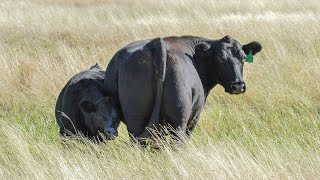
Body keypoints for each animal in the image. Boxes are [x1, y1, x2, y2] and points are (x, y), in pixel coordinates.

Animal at [104, 34, 262, 139]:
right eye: (219, 59)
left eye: (243, 58)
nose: (238, 85)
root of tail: (154, 45)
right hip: (179, 119)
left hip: (137, 118)